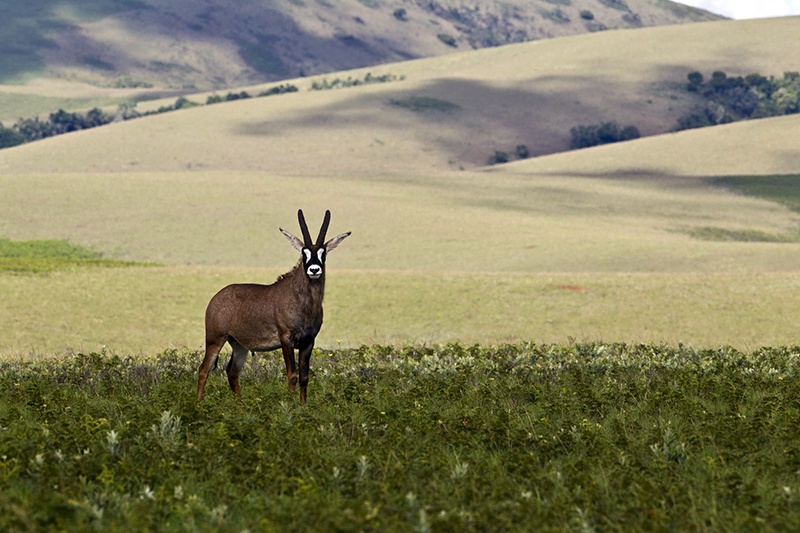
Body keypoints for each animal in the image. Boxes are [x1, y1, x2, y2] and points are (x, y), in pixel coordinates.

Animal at [195, 210, 348, 402]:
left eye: (323, 252)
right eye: (304, 252)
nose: (314, 270)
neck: (304, 303)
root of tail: (216, 298)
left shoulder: (308, 342)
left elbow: (304, 377)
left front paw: (303, 405)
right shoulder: (286, 339)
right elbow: (292, 375)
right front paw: (292, 405)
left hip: (239, 345)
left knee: (232, 372)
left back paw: (240, 404)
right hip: (215, 339)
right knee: (204, 370)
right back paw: (198, 404)